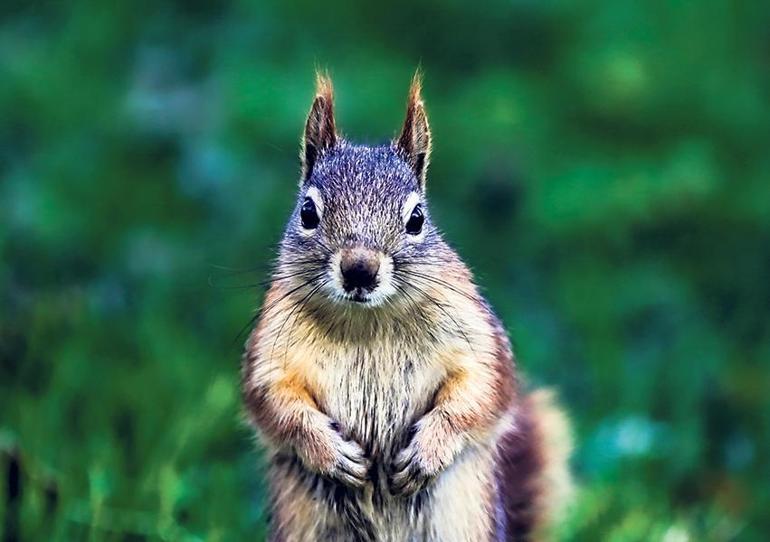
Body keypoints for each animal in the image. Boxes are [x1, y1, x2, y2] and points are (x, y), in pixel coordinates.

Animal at [240, 73, 568, 542]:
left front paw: (428, 449)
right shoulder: (271, 349)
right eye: (307, 212)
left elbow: (480, 390)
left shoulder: (477, 338)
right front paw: (330, 452)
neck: (367, 322)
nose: (360, 270)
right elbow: (275, 403)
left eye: (417, 219)